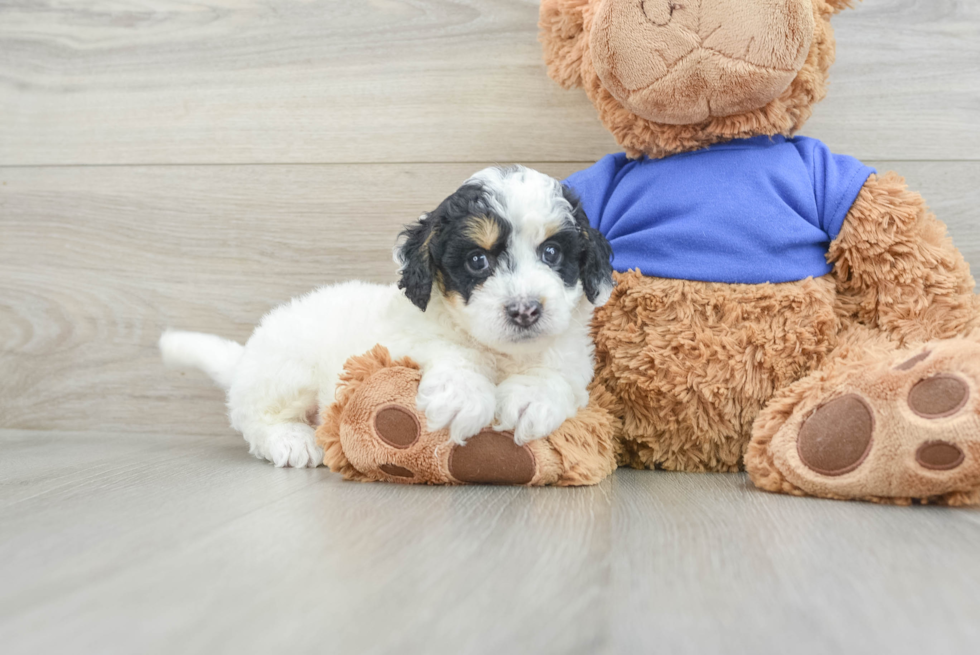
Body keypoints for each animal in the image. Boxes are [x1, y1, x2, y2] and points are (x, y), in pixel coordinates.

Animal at [161, 167, 612, 468]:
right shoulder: (407, 340)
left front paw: (529, 396)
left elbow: (555, 374)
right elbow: (450, 352)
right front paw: (464, 395)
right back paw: (293, 440)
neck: (502, 353)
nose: (525, 310)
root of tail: (245, 360)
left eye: (551, 253)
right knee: (255, 418)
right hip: (287, 370)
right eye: (477, 260)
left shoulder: (572, 357)